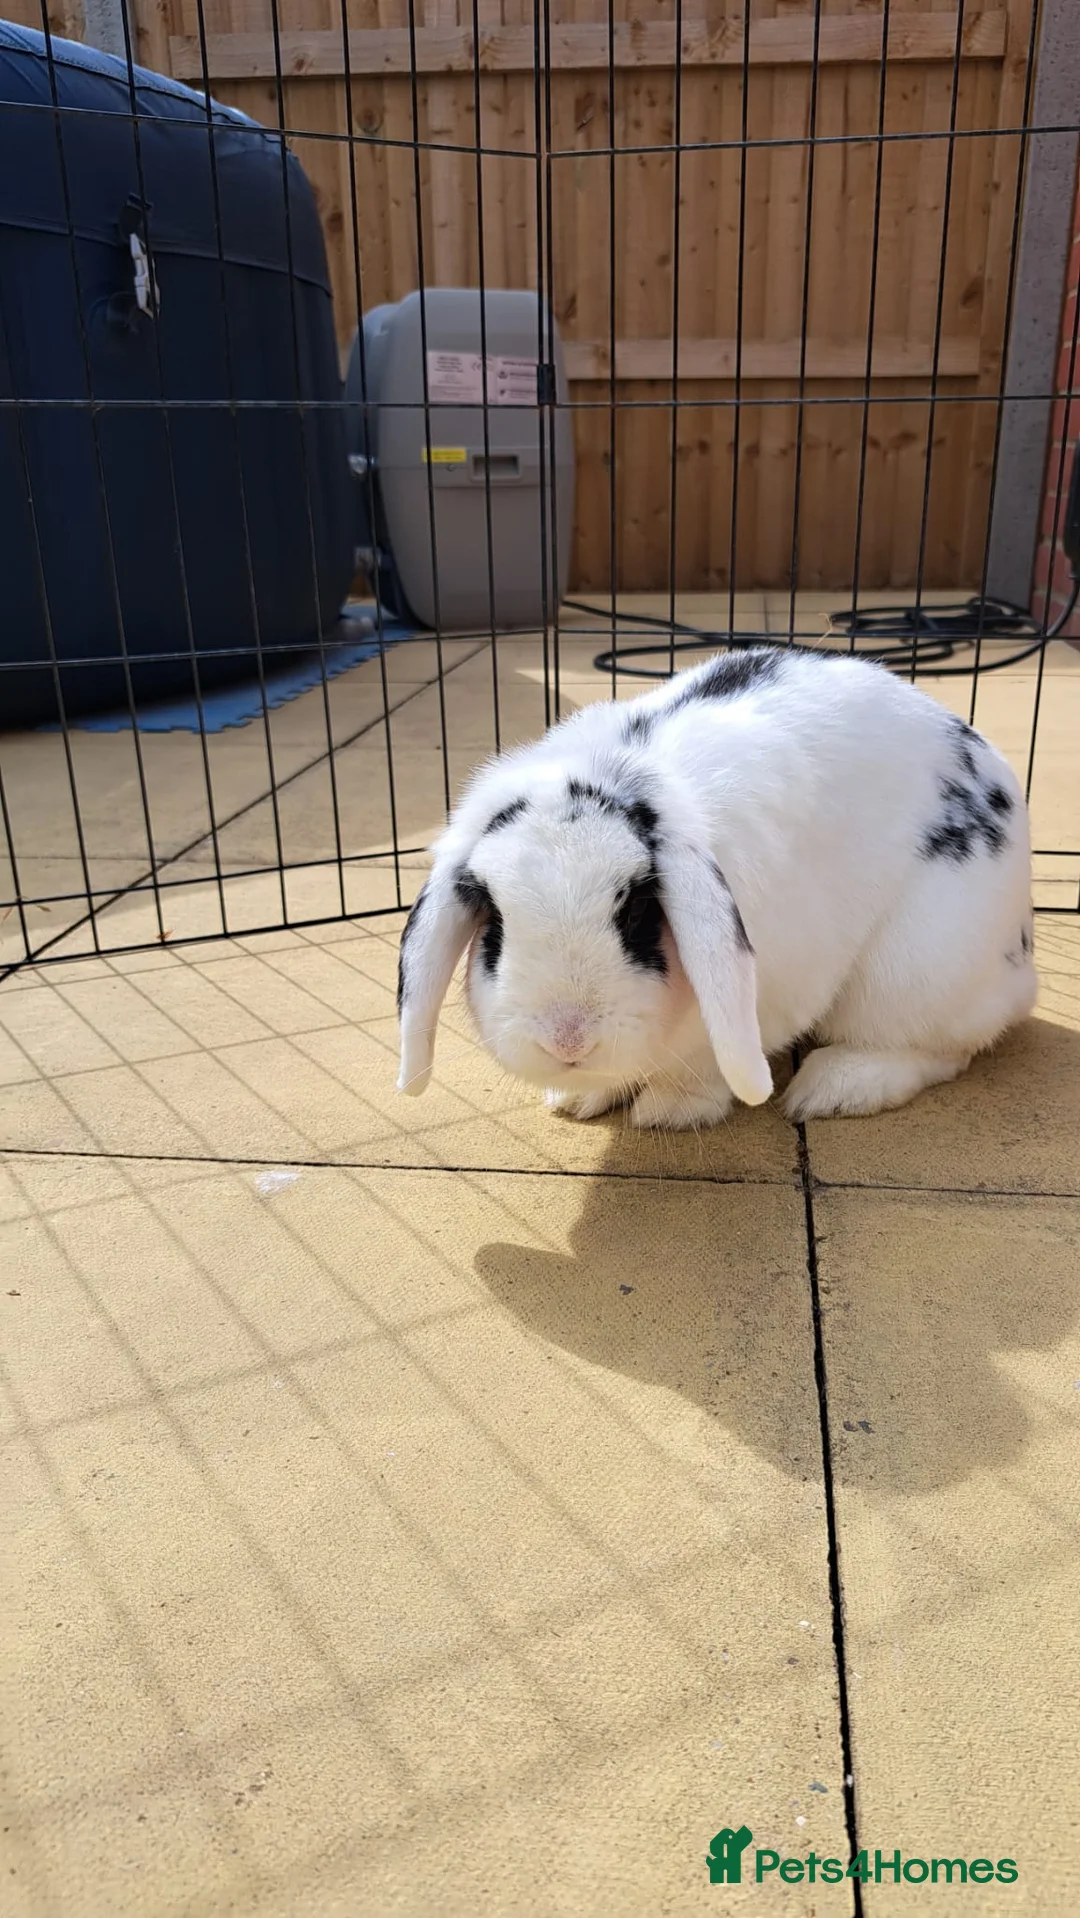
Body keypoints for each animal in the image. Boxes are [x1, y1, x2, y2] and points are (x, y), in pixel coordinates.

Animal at [396, 646, 1037, 1129]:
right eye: (495, 921)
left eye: (637, 911)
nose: (567, 1040)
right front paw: (576, 1099)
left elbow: (704, 1066)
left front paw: (670, 1111)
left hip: (917, 971)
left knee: (941, 1048)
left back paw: (833, 1088)